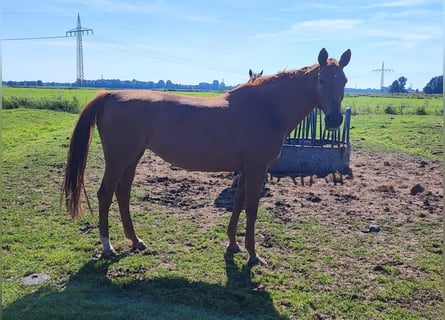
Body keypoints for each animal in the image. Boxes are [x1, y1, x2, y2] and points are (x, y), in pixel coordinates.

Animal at [61, 47, 350, 264]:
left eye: (344, 81)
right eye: (322, 79)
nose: (334, 120)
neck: (266, 108)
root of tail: (109, 95)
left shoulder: (246, 169)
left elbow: (238, 203)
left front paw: (233, 244)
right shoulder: (257, 169)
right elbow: (252, 209)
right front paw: (253, 255)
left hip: (133, 158)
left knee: (122, 194)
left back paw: (135, 240)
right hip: (119, 158)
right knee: (105, 194)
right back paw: (108, 246)